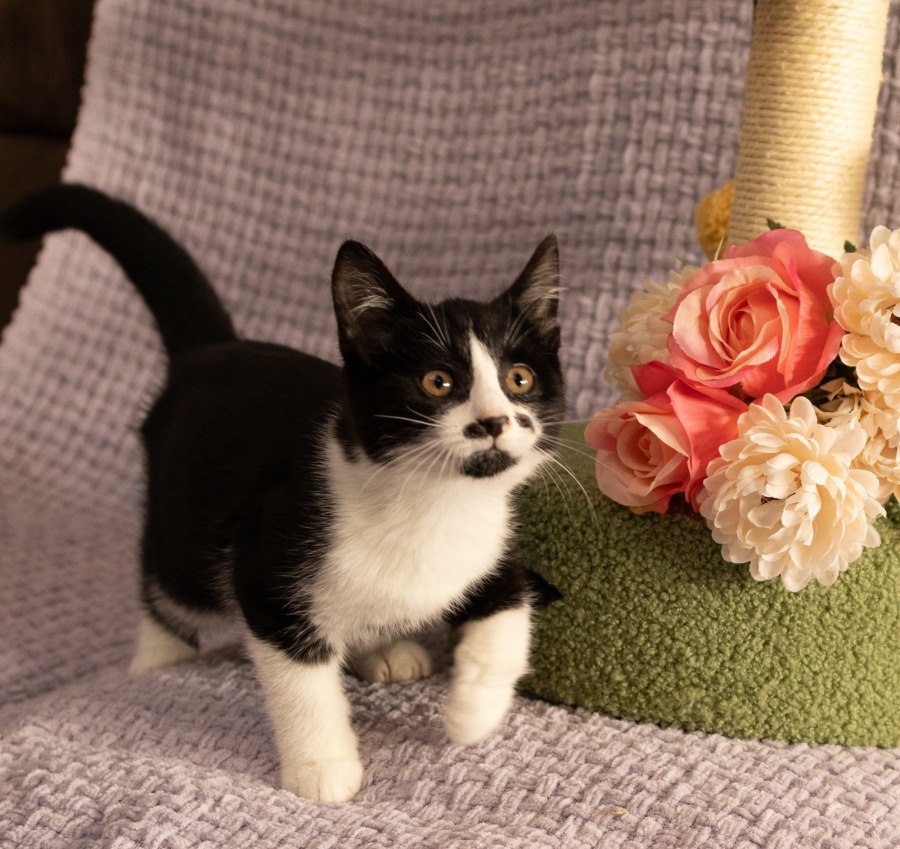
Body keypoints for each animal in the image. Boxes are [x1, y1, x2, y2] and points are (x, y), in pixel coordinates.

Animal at [1, 184, 565, 802]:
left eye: (519, 379)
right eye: (437, 382)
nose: (493, 422)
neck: (430, 499)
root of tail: (210, 350)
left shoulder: (491, 551)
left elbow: (508, 613)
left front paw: (472, 715)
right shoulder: (268, 566)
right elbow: (301, 684)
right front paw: (322, 767)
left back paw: (382, 648)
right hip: (183, 519)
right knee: (167, 586)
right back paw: (158, 659)